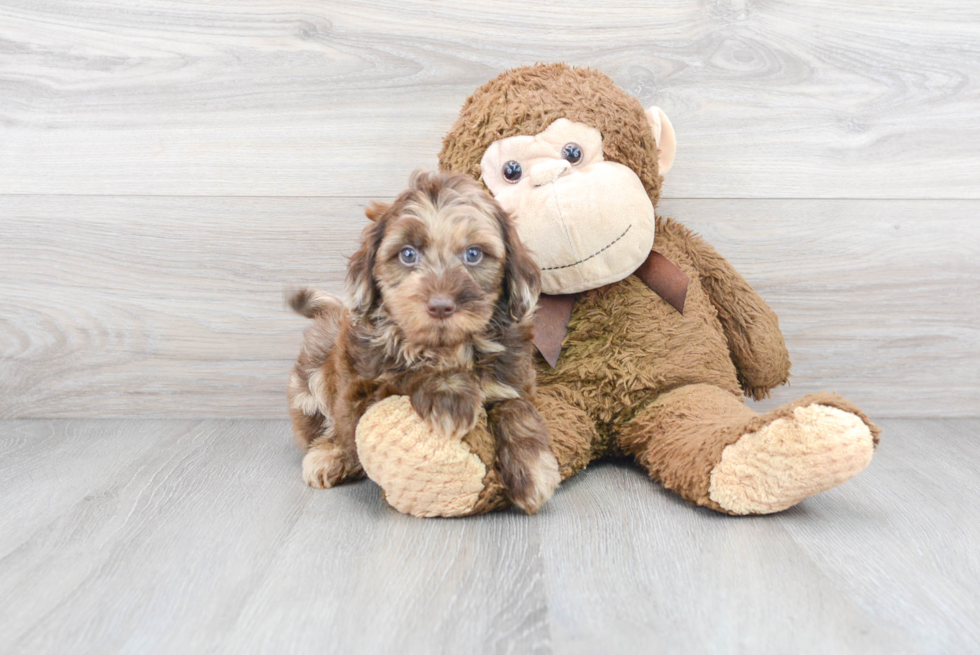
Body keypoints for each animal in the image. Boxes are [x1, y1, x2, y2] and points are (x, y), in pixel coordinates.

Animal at [286, 172, 560, 516]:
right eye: (407, 254)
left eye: (473, 254)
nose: (440, 306)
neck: (449, 348)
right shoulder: (359, 390)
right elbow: (405, 375)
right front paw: (448, 394)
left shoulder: (516, 378)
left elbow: (518, 406)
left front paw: (534, 469)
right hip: (314, 378)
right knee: (333, 428)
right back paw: (330, 455)